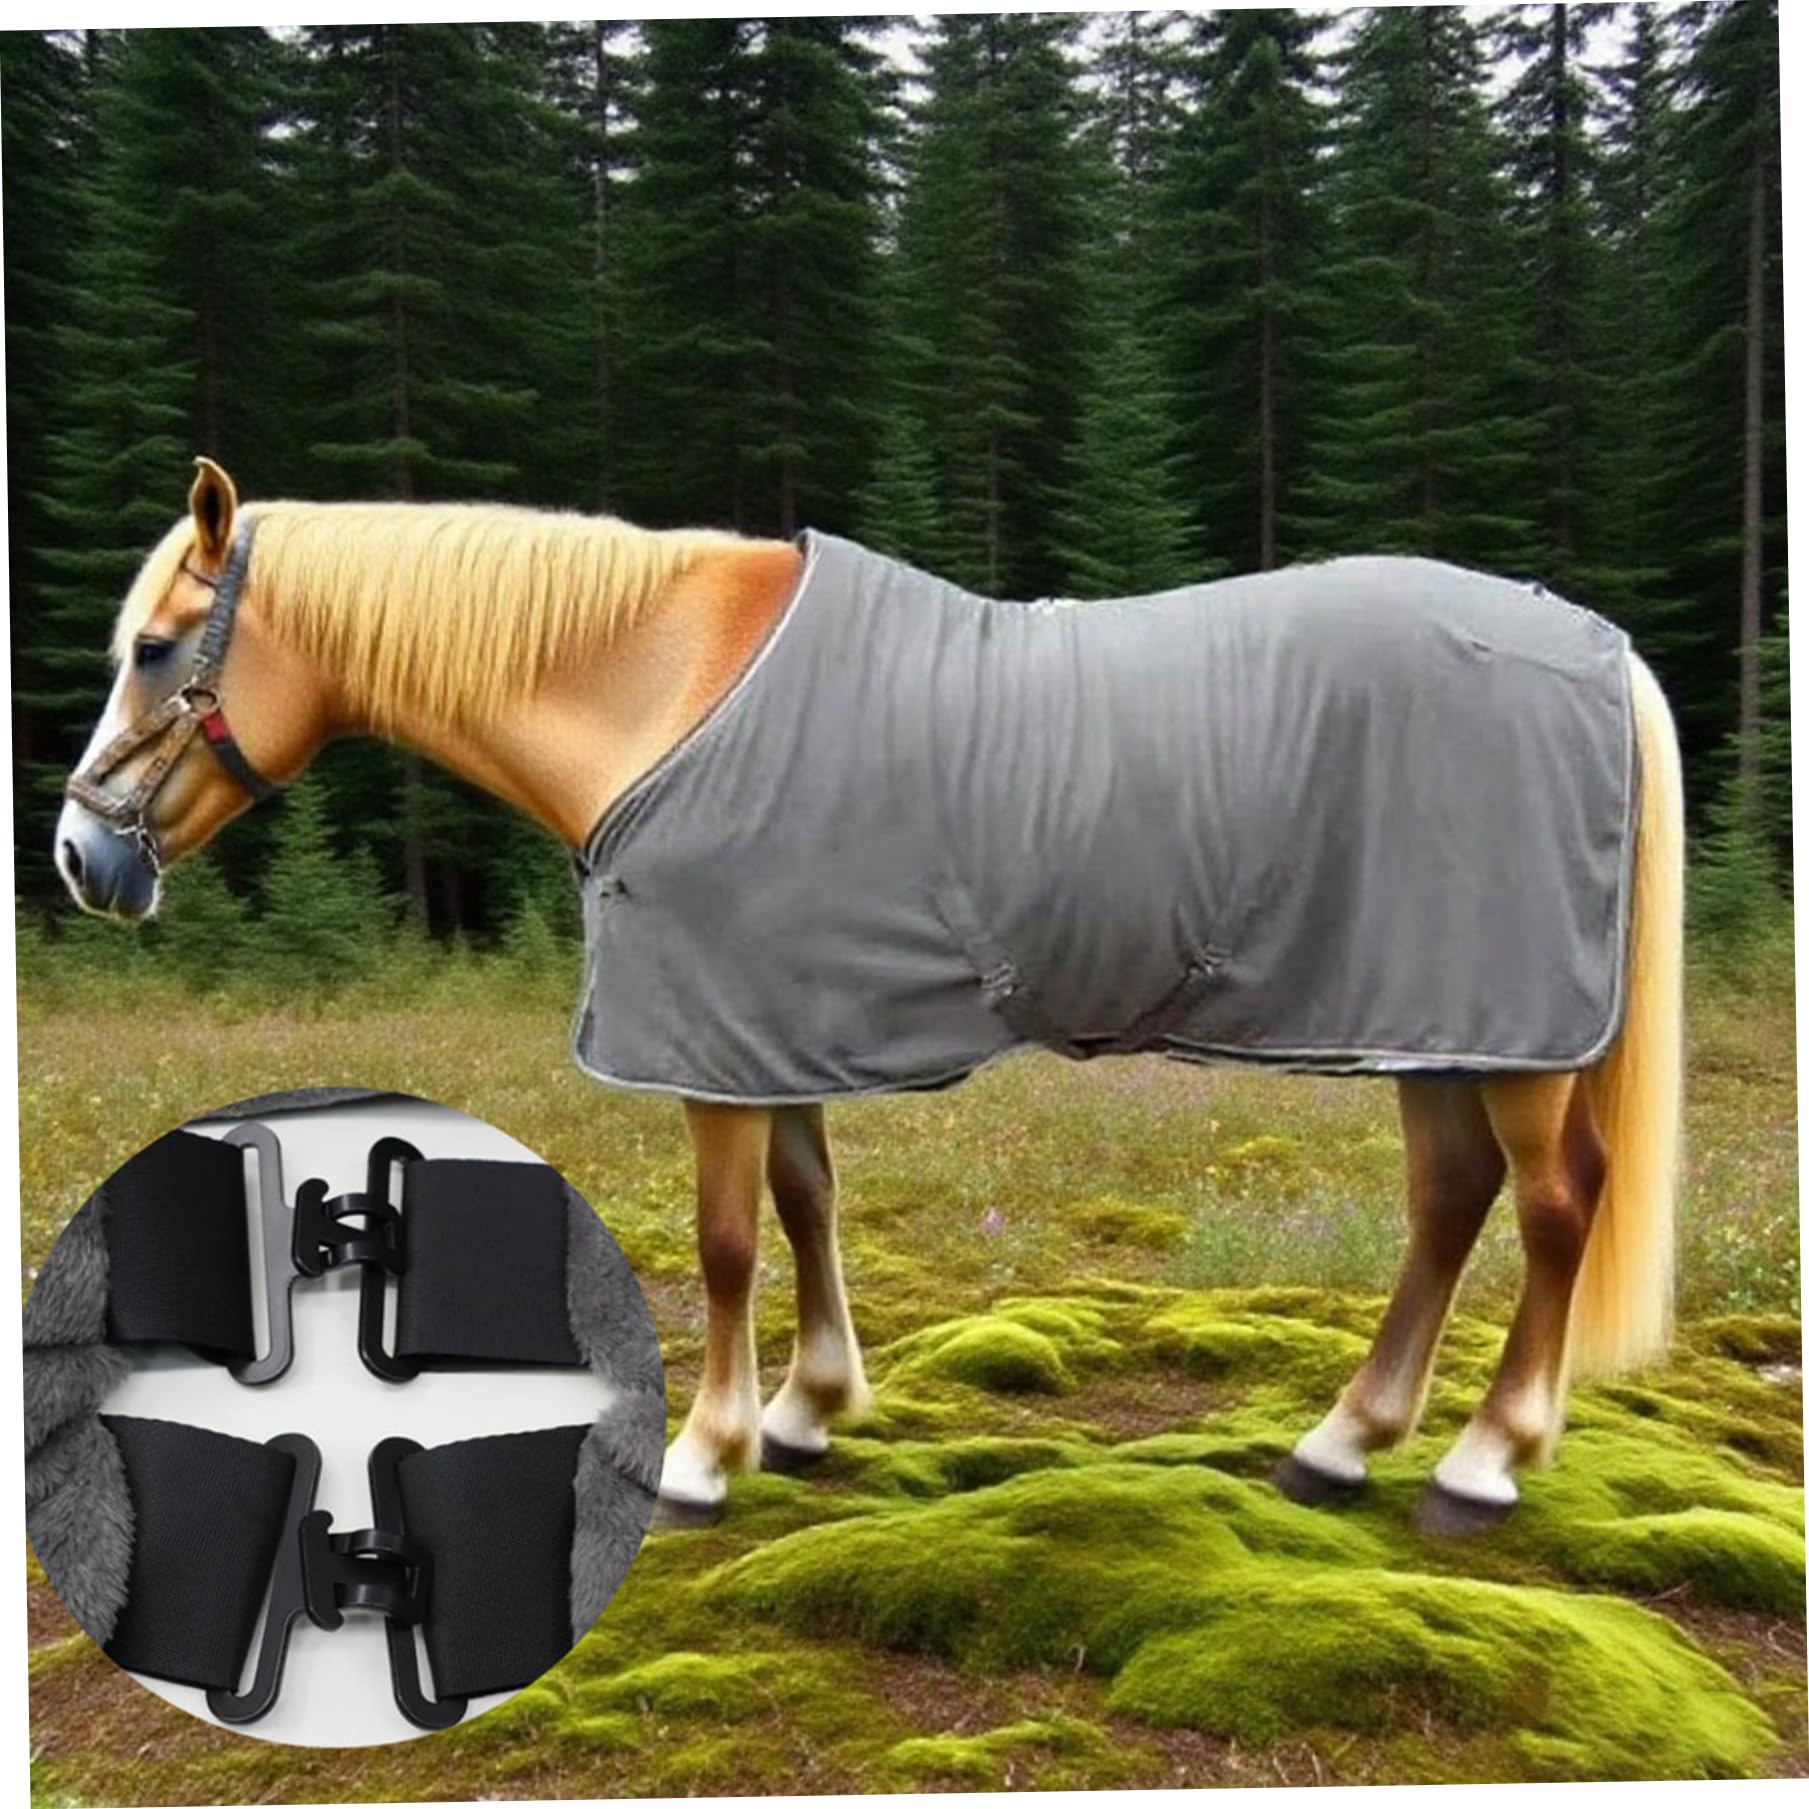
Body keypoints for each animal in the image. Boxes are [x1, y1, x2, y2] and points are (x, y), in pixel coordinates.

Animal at [55, 456, 1684, 1536]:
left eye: (155, 649)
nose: (80, 857)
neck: (656, 687)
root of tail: (1599, 649)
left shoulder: (713, 1042)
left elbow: (726, 1243)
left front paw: (706, 1455)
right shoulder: (766, 1025)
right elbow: (805, 1203)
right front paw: (806, 1413)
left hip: (1507, 1037)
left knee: (1554, 1205)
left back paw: (1483, 1462)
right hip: (1436, 1023)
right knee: (1450, 1200)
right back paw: (1342, 1443)